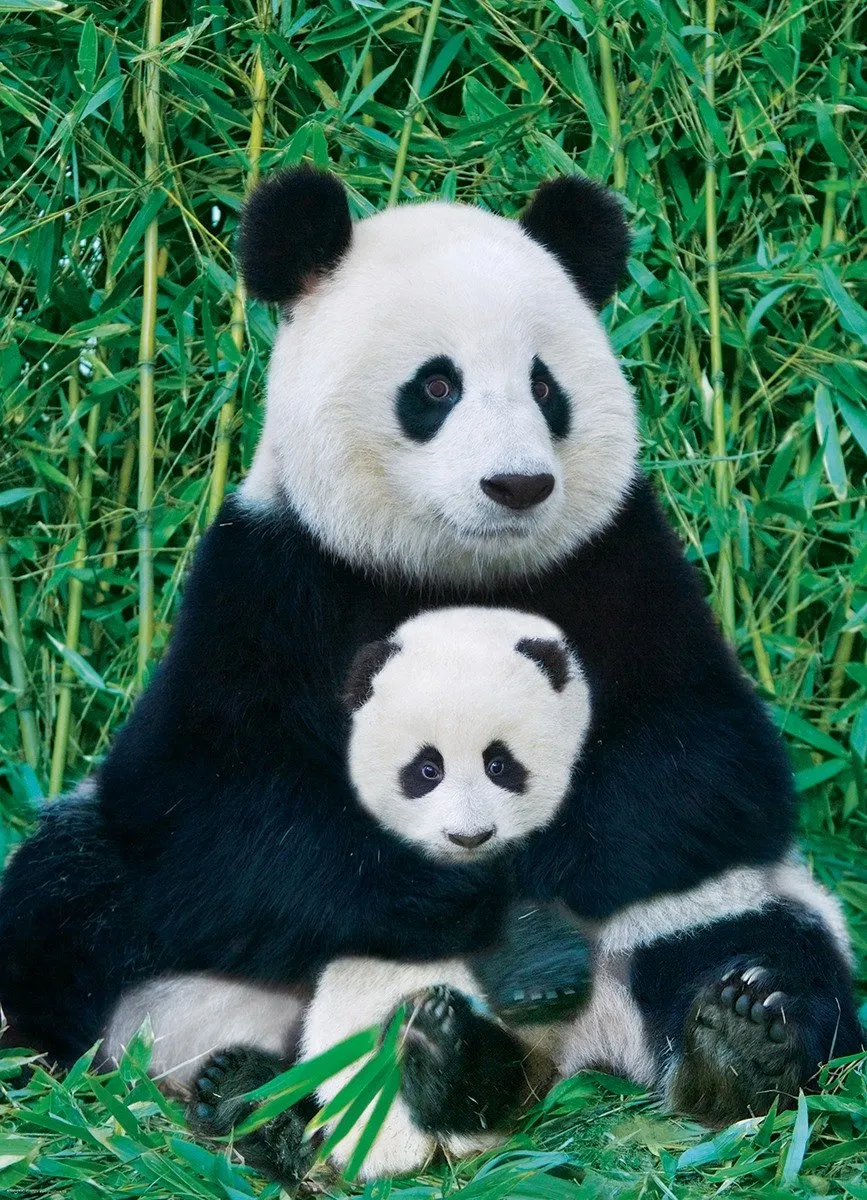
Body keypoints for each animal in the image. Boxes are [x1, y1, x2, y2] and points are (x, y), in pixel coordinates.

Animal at [184, 606, 594, 1181]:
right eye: (427, 769)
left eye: (499, 764)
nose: (469, 836)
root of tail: (392, 1156)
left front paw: (537, 973)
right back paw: (244, 1094)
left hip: (515, 1083)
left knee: (484, 1086)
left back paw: (437, 1049)